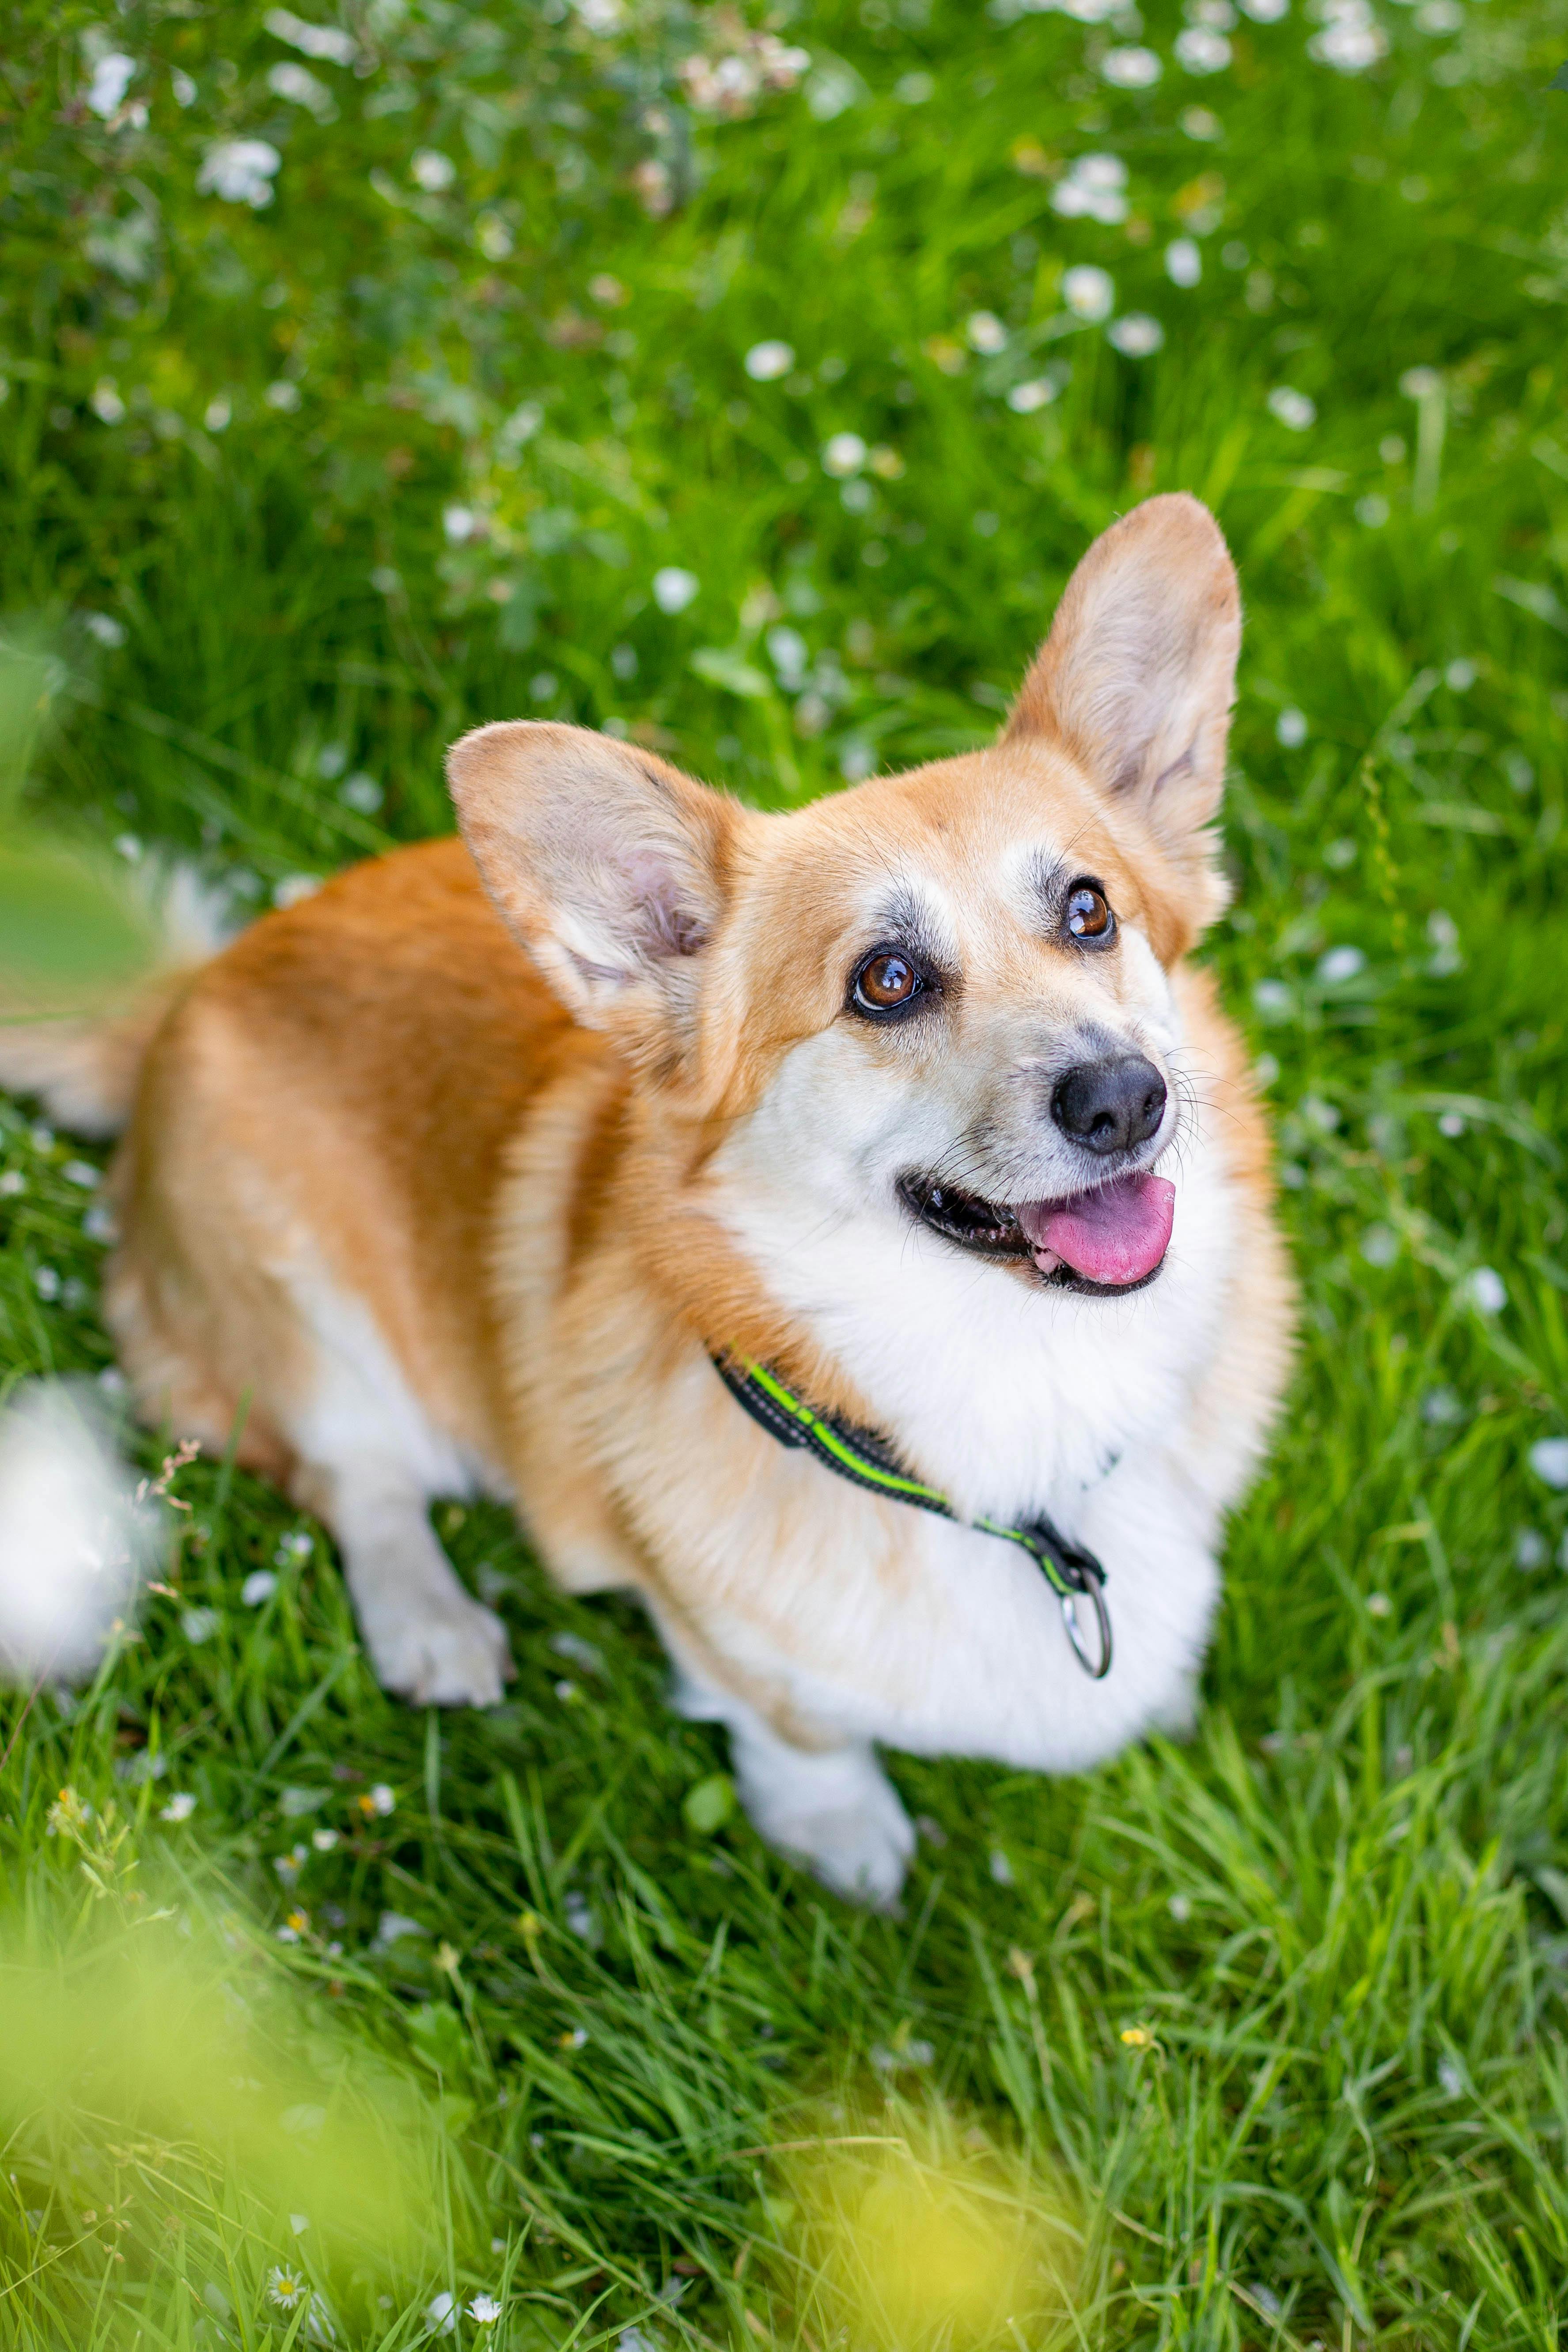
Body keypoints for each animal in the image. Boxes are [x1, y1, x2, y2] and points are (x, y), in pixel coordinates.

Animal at [6, 496, 1297, 1909]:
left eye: (1088, 910)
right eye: (886, 979)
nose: (1123, 1098)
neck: (1018, 1398)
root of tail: (178, 997)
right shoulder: (720, 1631)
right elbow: (795, 1722)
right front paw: (842, 1837)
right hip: (295, 1305)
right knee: (360, 1473)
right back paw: (434, 1624)